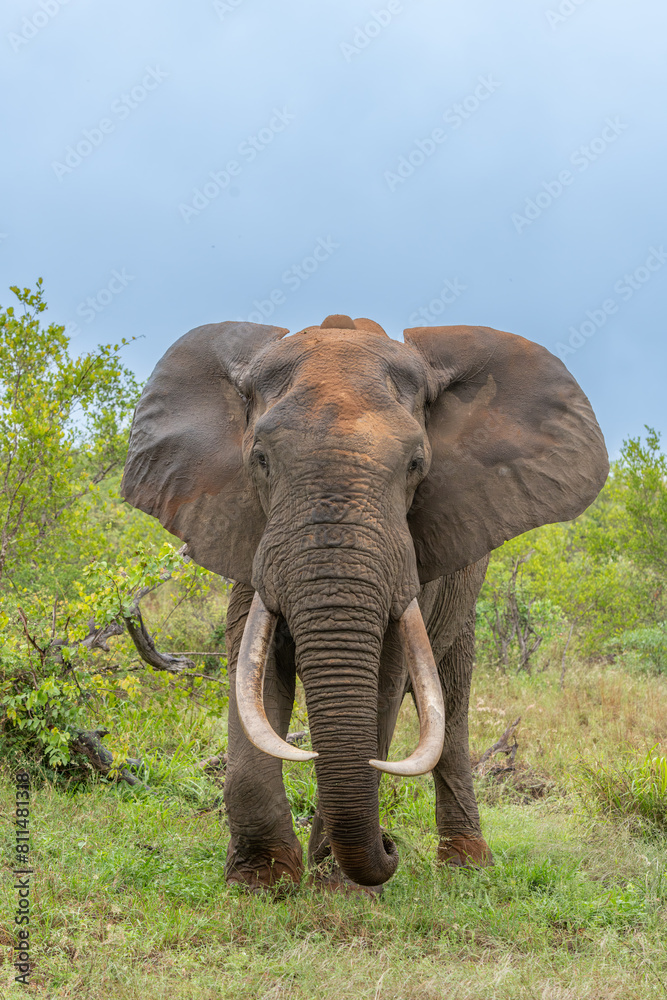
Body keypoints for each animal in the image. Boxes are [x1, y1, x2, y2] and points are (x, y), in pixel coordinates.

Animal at [121, 313, 608, 891]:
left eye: (416, 464)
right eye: (260, 459)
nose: (391, 845)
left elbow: (385, 682)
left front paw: (339, 886)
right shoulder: (249, 535)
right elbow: (253, 678)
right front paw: (262, 881)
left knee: (452, 698)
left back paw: (466, 863)